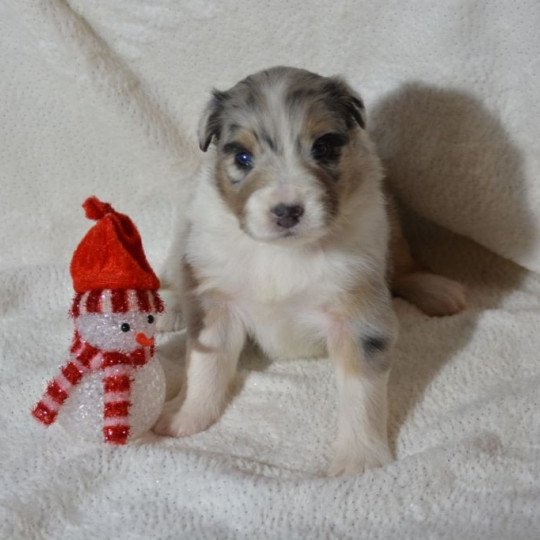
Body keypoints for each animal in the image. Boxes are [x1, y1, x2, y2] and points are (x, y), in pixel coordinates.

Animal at [154, 66, 466, 472]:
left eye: (323, 147)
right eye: (243, 156)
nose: (287, 211)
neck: (284, 252)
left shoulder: (358, 306)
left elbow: (362, 392)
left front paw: (359, 459)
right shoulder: (217, 301)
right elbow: (207, 366)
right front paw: (185, 416)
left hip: (393, 221)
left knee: (404, 266)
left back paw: (440, 291)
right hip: (185, 239)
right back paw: (168, 304)